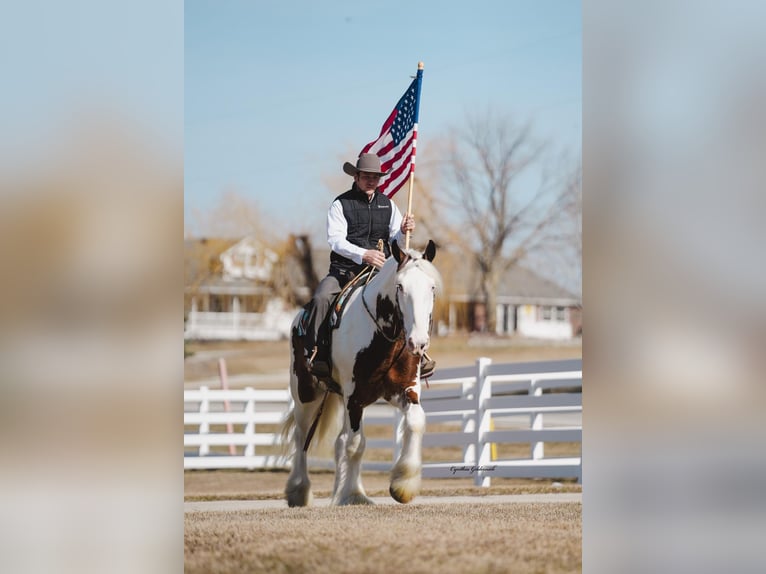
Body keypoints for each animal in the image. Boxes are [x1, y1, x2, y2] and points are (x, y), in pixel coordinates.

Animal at [282, 240, 440, 508]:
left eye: (431, 287)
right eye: (400, 286)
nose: (418, 342)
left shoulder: (404, 389)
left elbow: (415, 422)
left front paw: (403, 484)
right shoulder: (354, 397)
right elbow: (357, 445)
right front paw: (355, 494)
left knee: (338, 442)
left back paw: (336, 492)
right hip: (306, 393)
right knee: (301, 437)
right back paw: (298, 490)